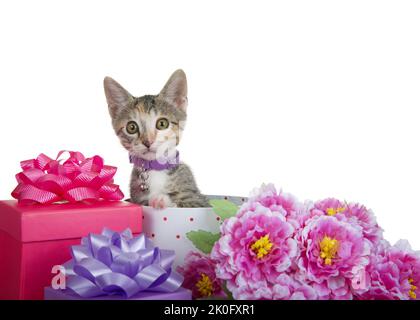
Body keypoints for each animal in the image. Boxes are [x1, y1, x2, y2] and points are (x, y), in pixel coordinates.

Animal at [104, 69, 209, 209]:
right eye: (131, 127)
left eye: (162, 123)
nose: (148, 141)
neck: (155, 170)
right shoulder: (136, 197)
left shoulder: (198, 200)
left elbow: (184, 203)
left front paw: (162, 199)